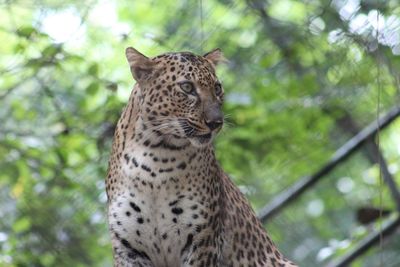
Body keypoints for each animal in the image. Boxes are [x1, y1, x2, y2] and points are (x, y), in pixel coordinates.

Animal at [106, 46, 296, 267]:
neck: (155, 157)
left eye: (217, 88)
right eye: (187, 87)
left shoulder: (203, 240)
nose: (216, 122)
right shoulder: (128, 247)